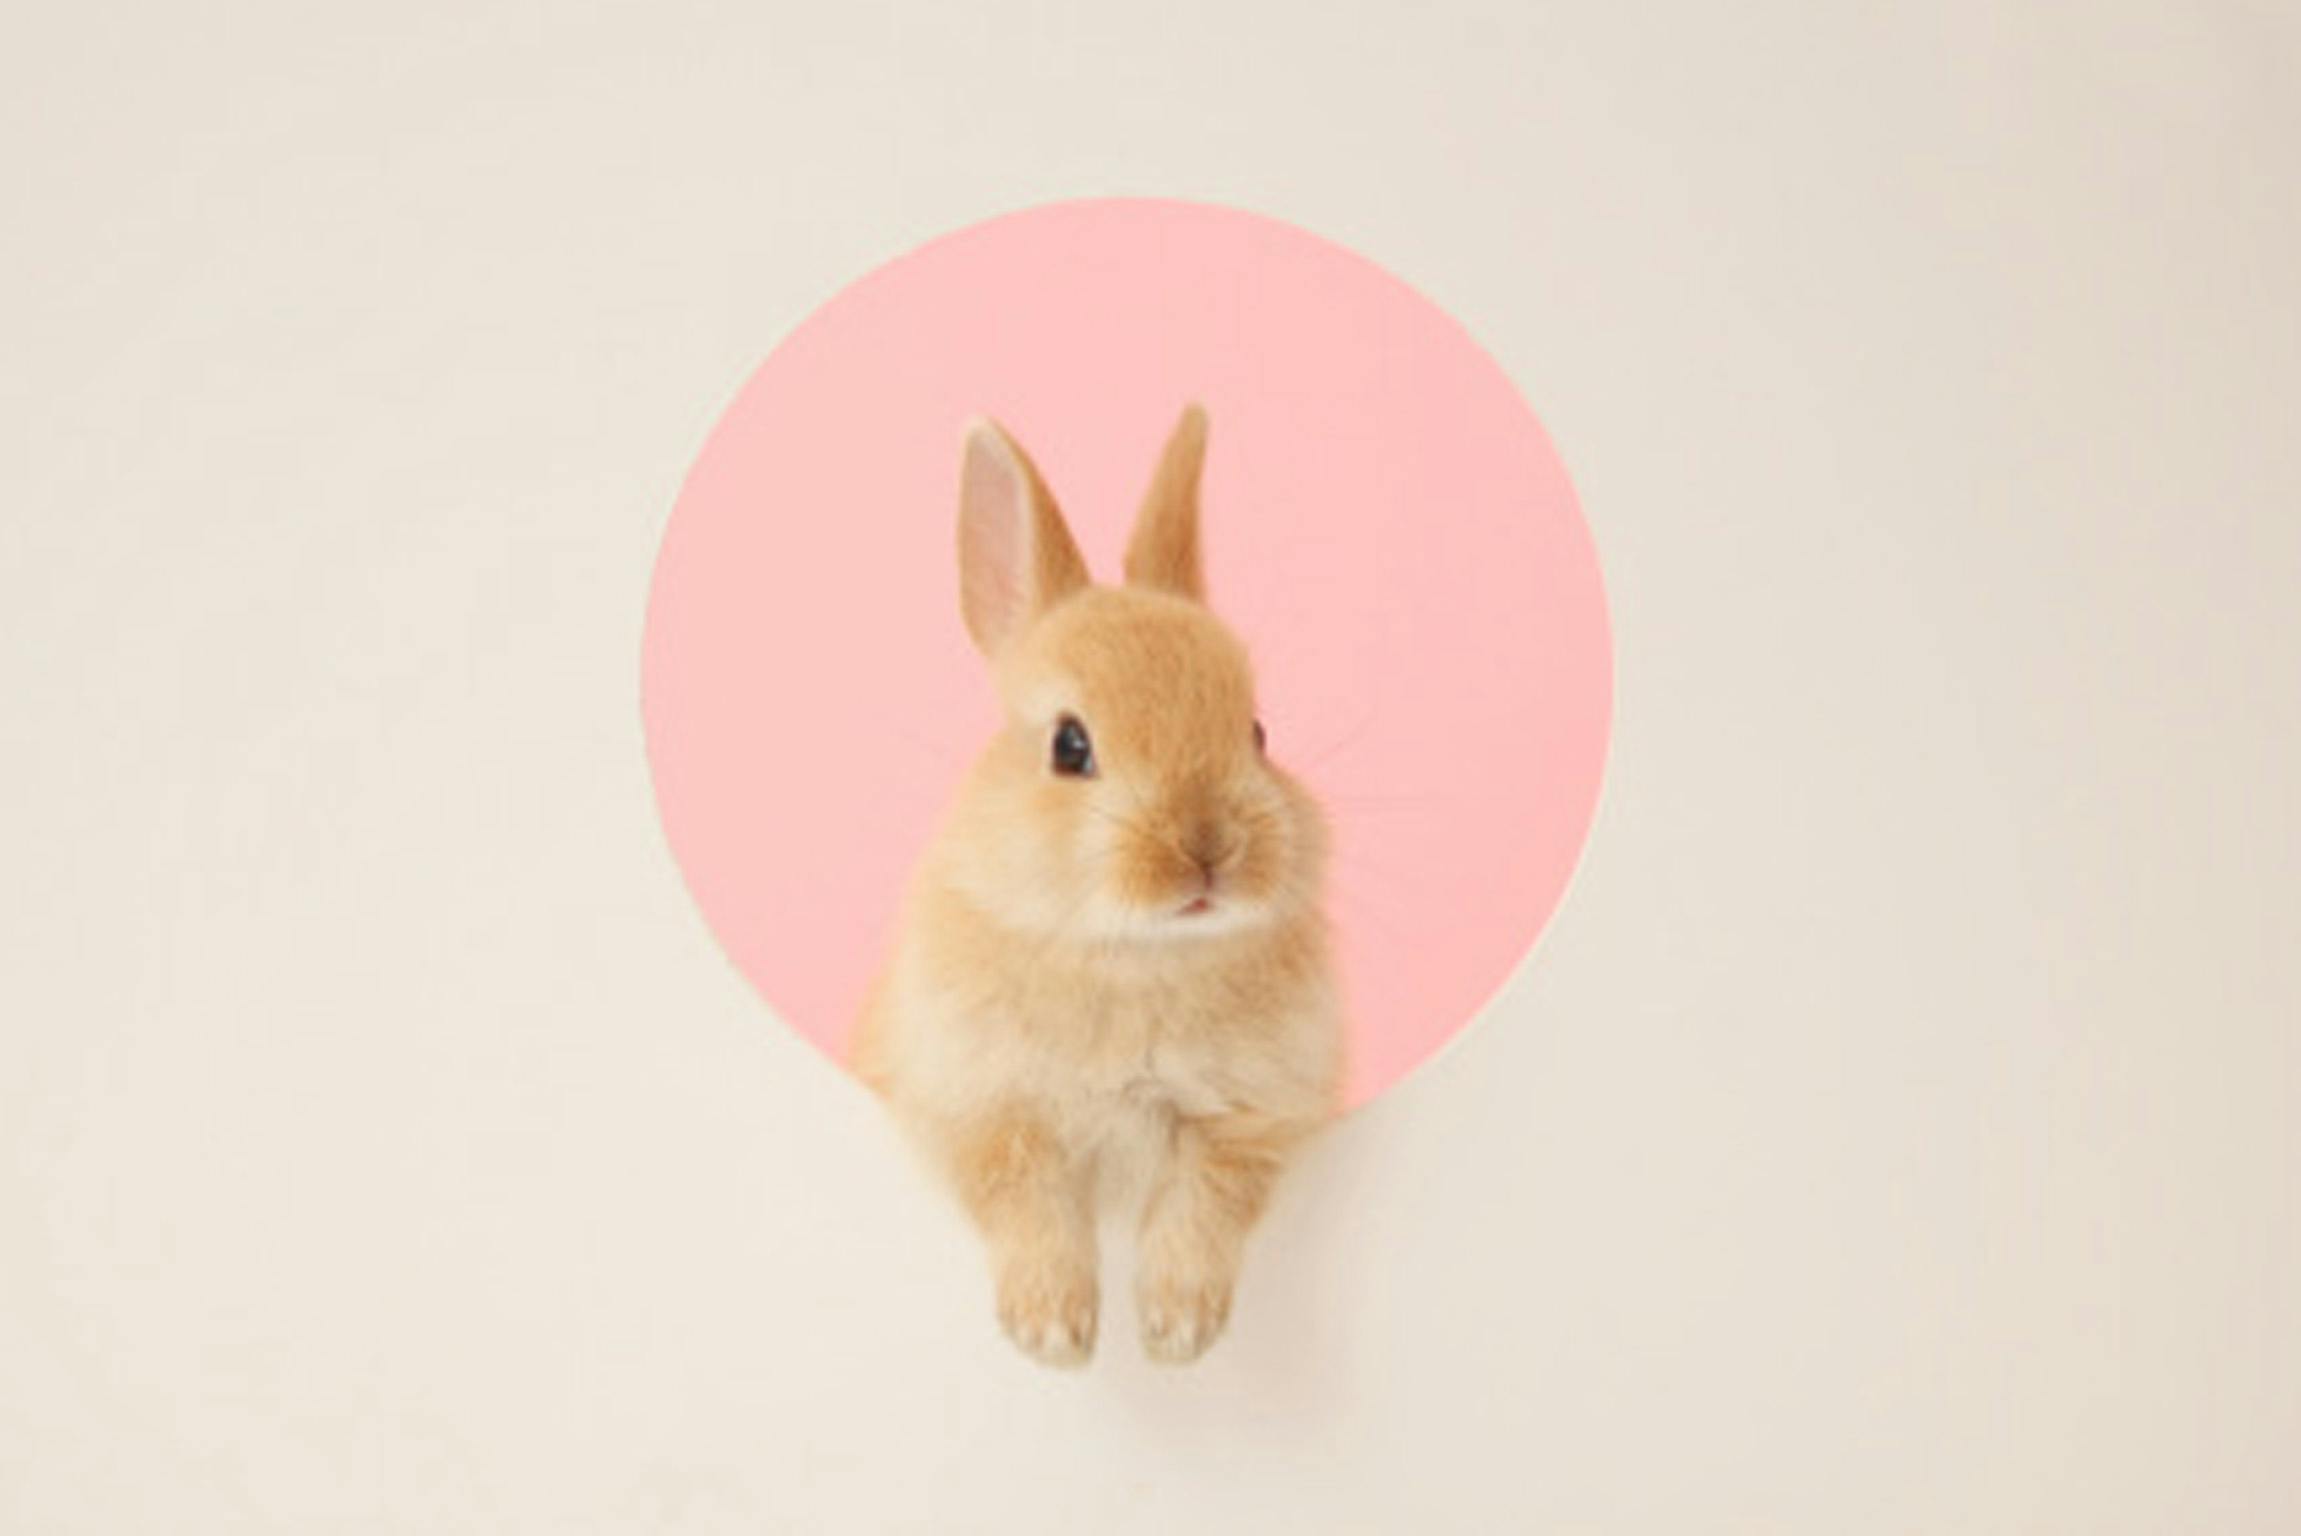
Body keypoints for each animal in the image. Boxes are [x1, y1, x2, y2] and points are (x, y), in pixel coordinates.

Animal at [852, 404, 1343, 1367]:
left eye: (1258, 732)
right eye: (1068, 746)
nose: (1207, 849)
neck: (1133, 955)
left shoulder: (1250, 1118)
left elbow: (1206, 1202)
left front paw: (1176, 1335)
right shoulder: (979, 1108)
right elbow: (1024, 1198)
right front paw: (1053, 1335)